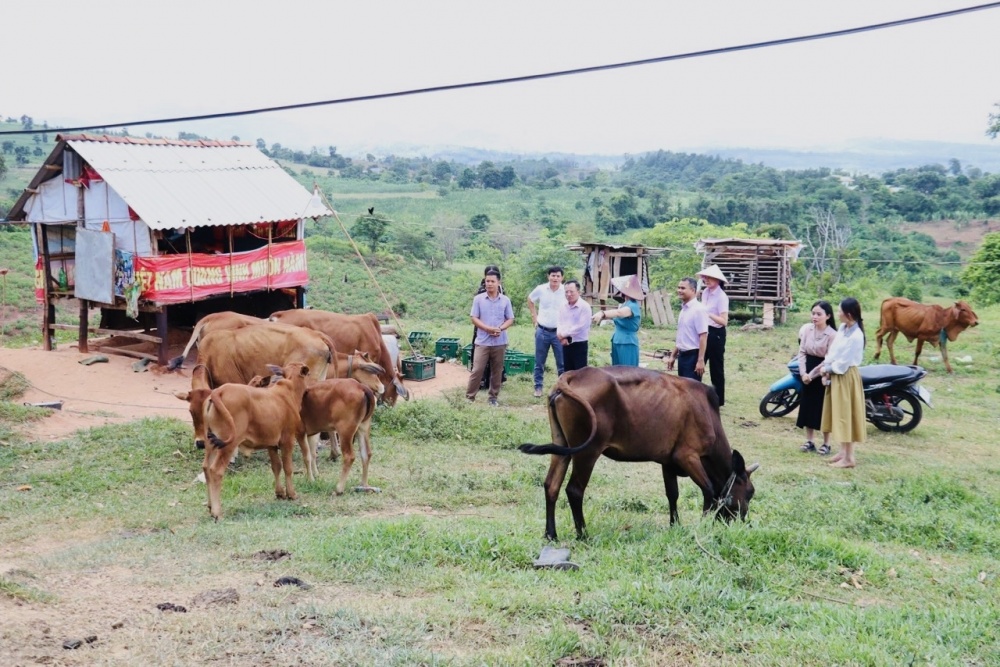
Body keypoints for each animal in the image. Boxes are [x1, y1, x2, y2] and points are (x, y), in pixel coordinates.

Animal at [201, 362, 310, 520]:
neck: (289, 391)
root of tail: (219, 391)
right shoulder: (288, 439)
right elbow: (288, 467)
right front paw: (292, 494)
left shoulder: (271, 444)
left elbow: (276, 466)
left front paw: (280, 493)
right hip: (228, 445)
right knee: (215, 471)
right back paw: (217, 512)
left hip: (211, 443)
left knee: (206, 468)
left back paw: (210, 506)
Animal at [520, 366, 760, 544]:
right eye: (749, 492)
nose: (743, 522)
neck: (708, 413)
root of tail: (572, 375)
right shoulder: (688, 456)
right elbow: (709, 491)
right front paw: (703, 525)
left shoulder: (668, 461)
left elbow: (672, 494)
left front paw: (675, 526)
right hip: (588, 451)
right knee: (574, 490)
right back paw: (583, 535)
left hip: (561, 445)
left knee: (551, 485)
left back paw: (551, 534)